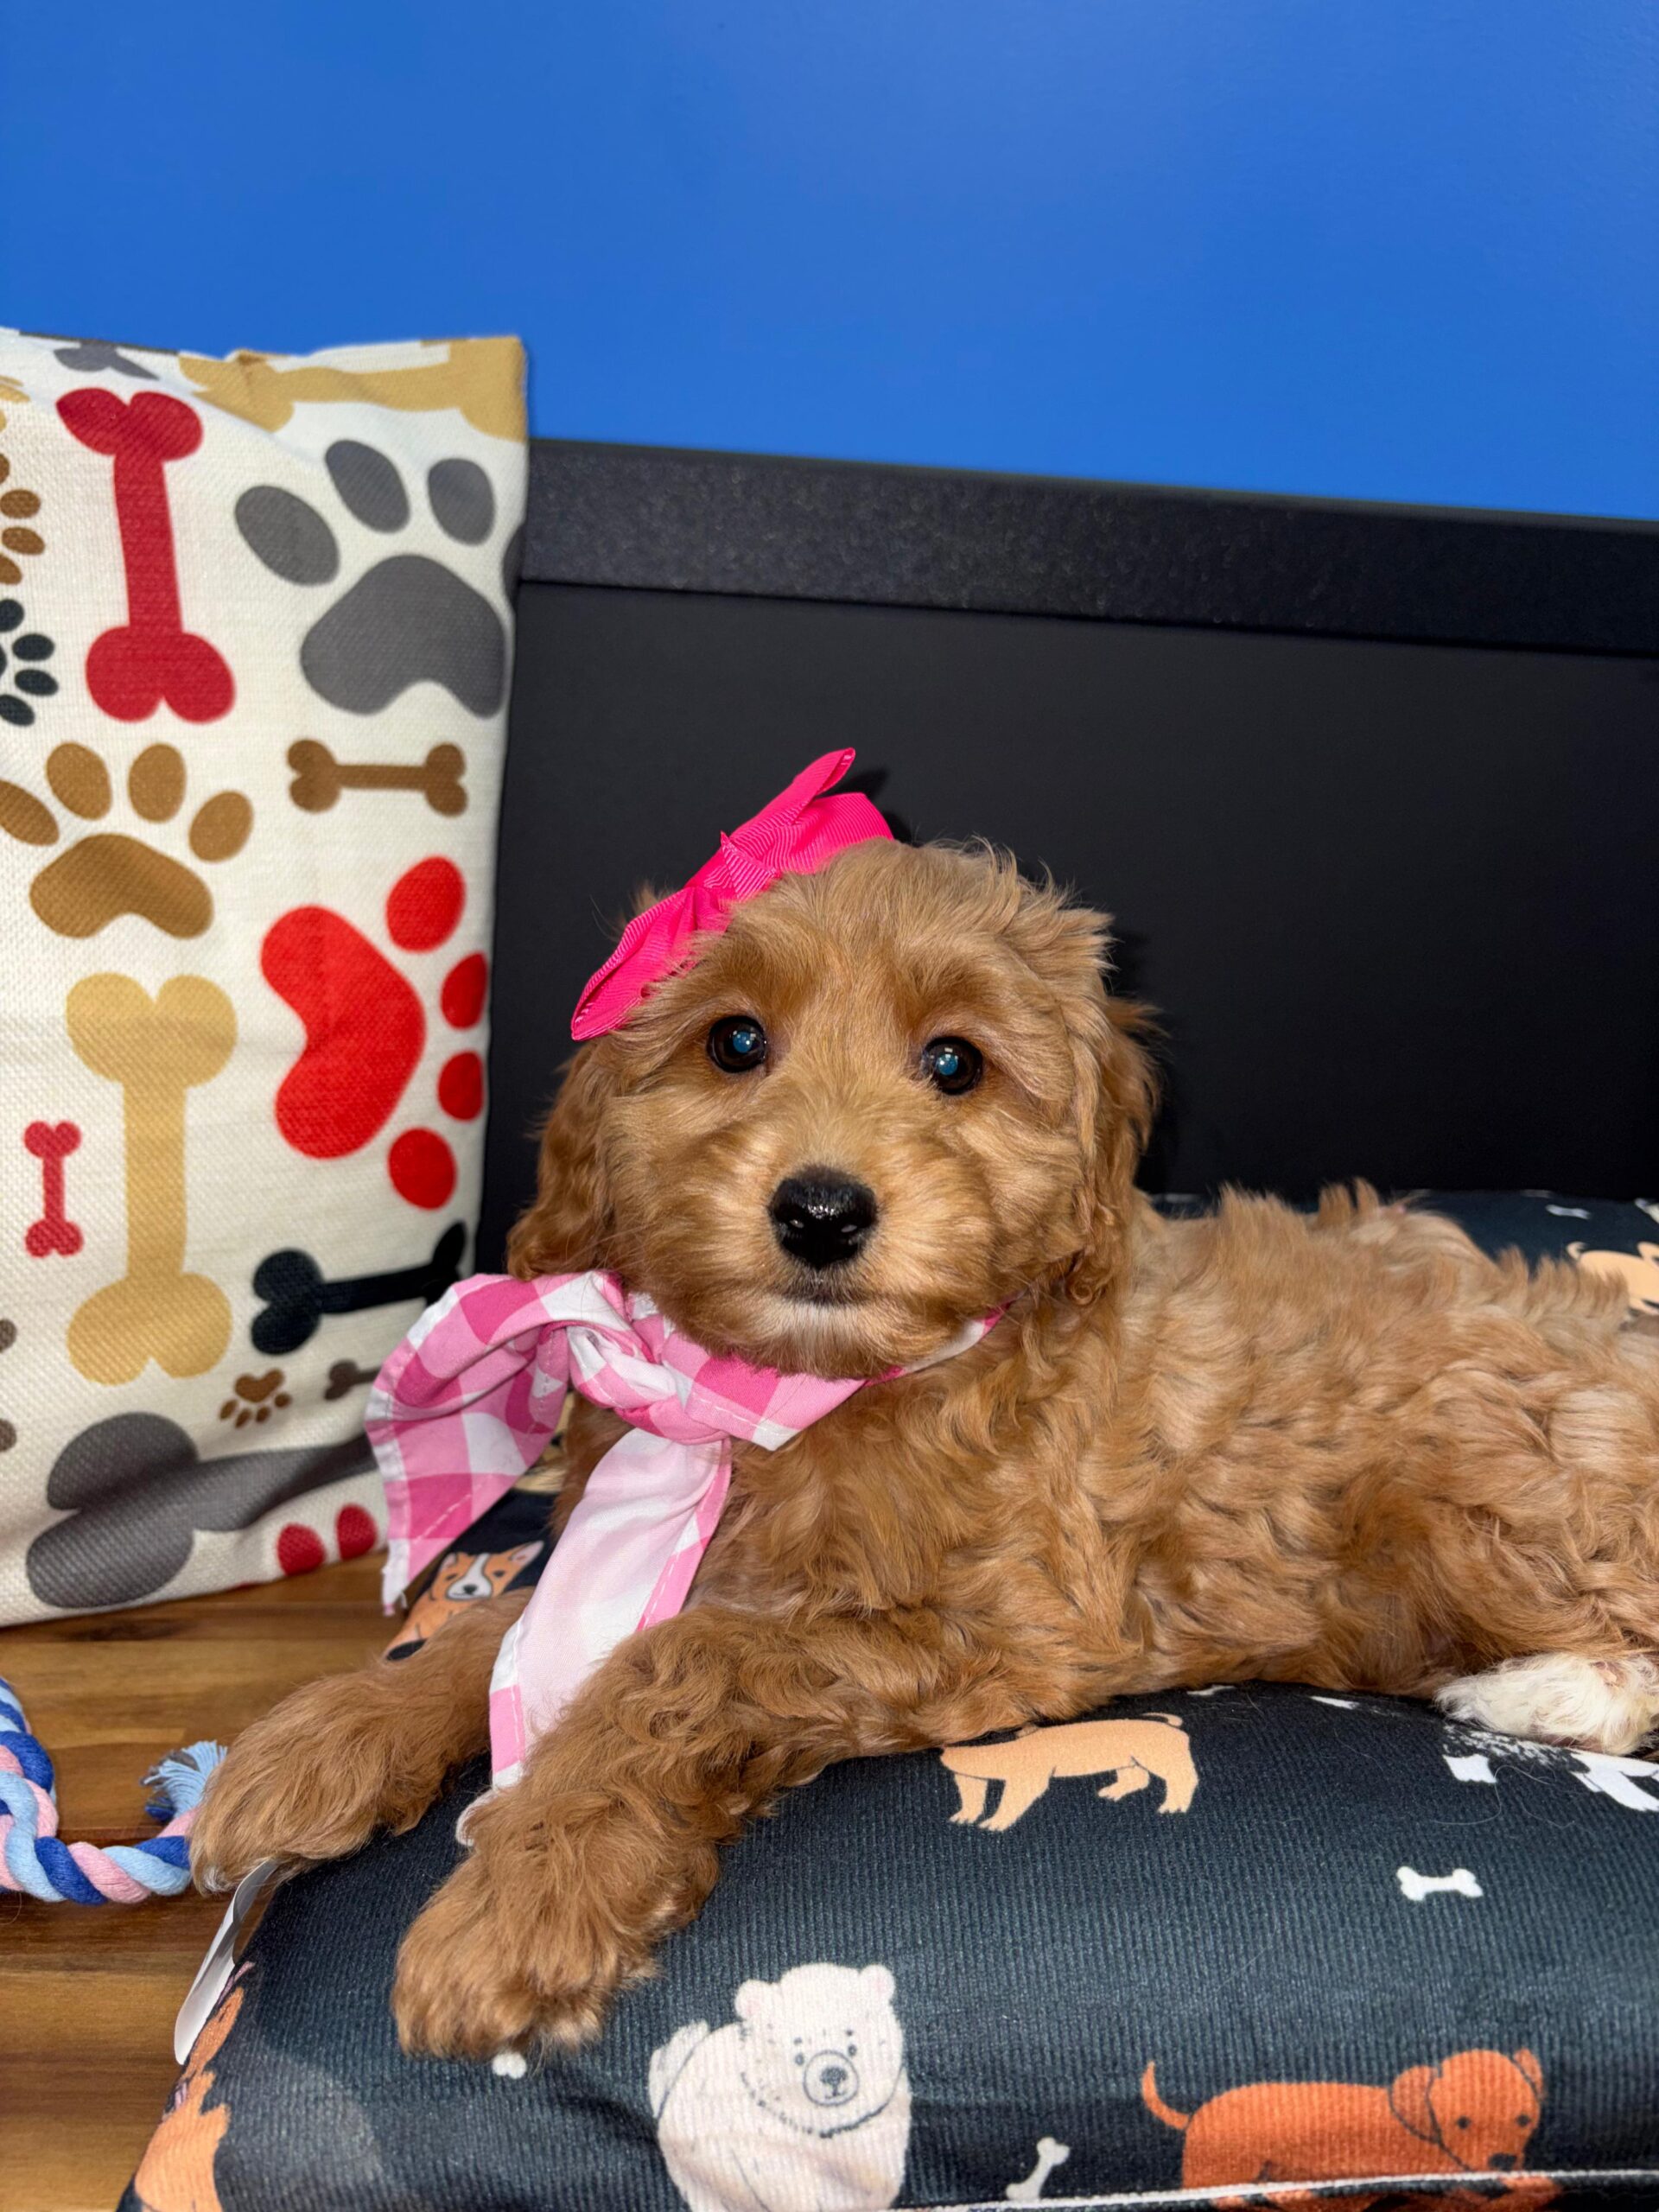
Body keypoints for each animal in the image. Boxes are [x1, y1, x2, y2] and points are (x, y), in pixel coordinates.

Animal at [942, 1714, 1197, 1829]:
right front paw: (963, 1817)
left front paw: (995, 1823)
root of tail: (1173, 1726)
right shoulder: (968, 1774)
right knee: (1138, 1778)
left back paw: (1173, 1807)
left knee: (1182, 1777)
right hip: (1127, 1760)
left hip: (1158, 1756)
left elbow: (1012, 1799)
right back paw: (1111, 1792)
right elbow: (971, 1795)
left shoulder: (1028, 1775)